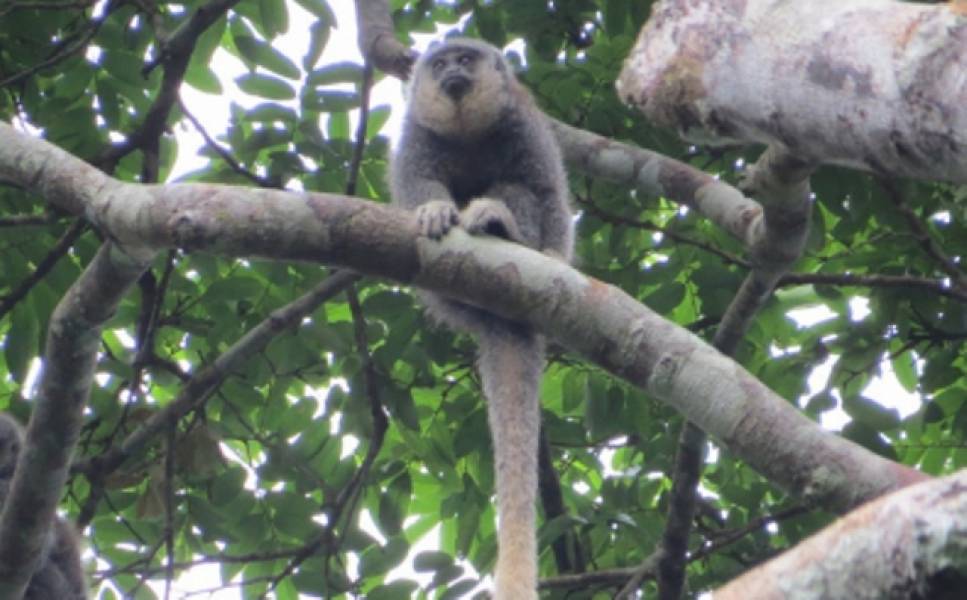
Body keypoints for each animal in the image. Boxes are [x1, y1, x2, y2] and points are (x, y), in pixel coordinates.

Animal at [390, 39, 576, 596]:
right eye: (440, 64)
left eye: (465, 59)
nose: (452, 70)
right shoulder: (416, 134)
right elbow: (418, 183)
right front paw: (432, 212)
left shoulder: (526, 124)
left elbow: (546, 191)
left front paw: (552, 253)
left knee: (517, 190)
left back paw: (499, 223)